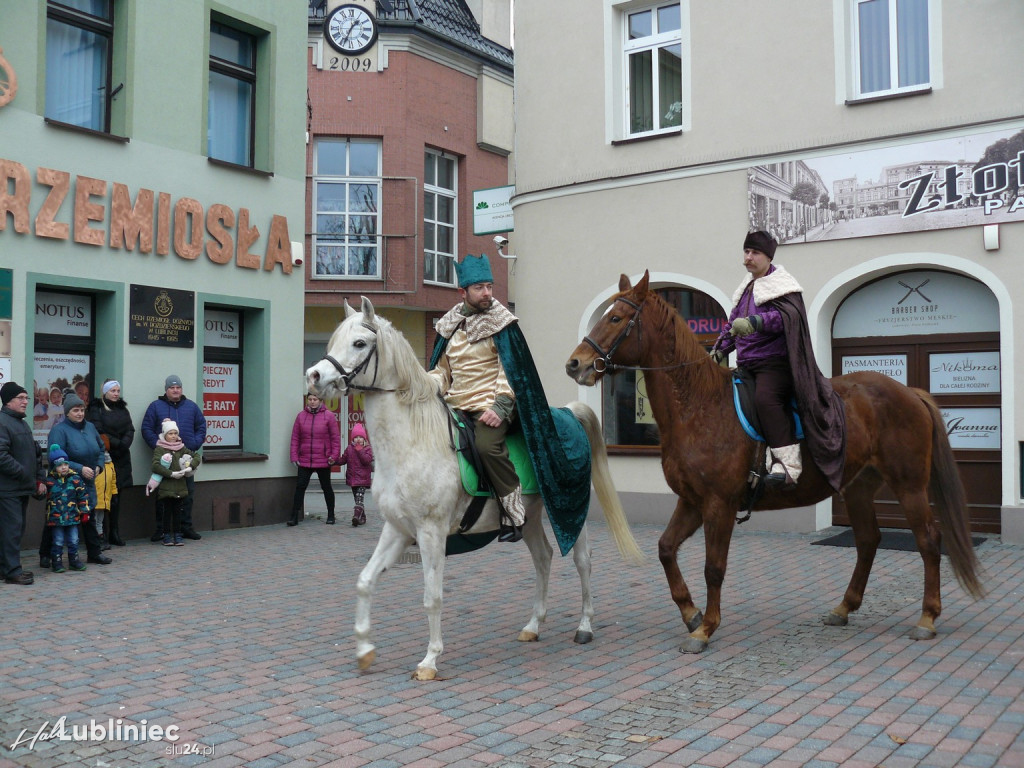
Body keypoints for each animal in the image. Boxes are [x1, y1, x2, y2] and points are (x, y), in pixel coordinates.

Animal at [305, 296, 638, 684]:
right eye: (333, 342)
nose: (314, 376)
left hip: (570, 509)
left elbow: (432, 596)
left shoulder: (431, 531)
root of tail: (568, 412)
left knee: (582, 560)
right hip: (530, 515)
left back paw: (585, 626)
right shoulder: (397, 529)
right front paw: (364, 651)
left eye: (359, 343)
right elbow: (364, 581)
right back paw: (533, 625)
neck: (413, 441)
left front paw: (430, 660)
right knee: (543, 558)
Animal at [569, 272, 983, 655]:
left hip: (909, 484)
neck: (700, 406)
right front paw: (691, 614)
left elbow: (713, 567)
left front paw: (706, 629)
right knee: (868, 540)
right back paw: (844, 608)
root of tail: (908, 392)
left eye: (617, 317)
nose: (576, 364)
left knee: (928, 540)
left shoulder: (719, 504)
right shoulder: (691, 501)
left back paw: (927, 617)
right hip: (858, 487)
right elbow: (666, 549)